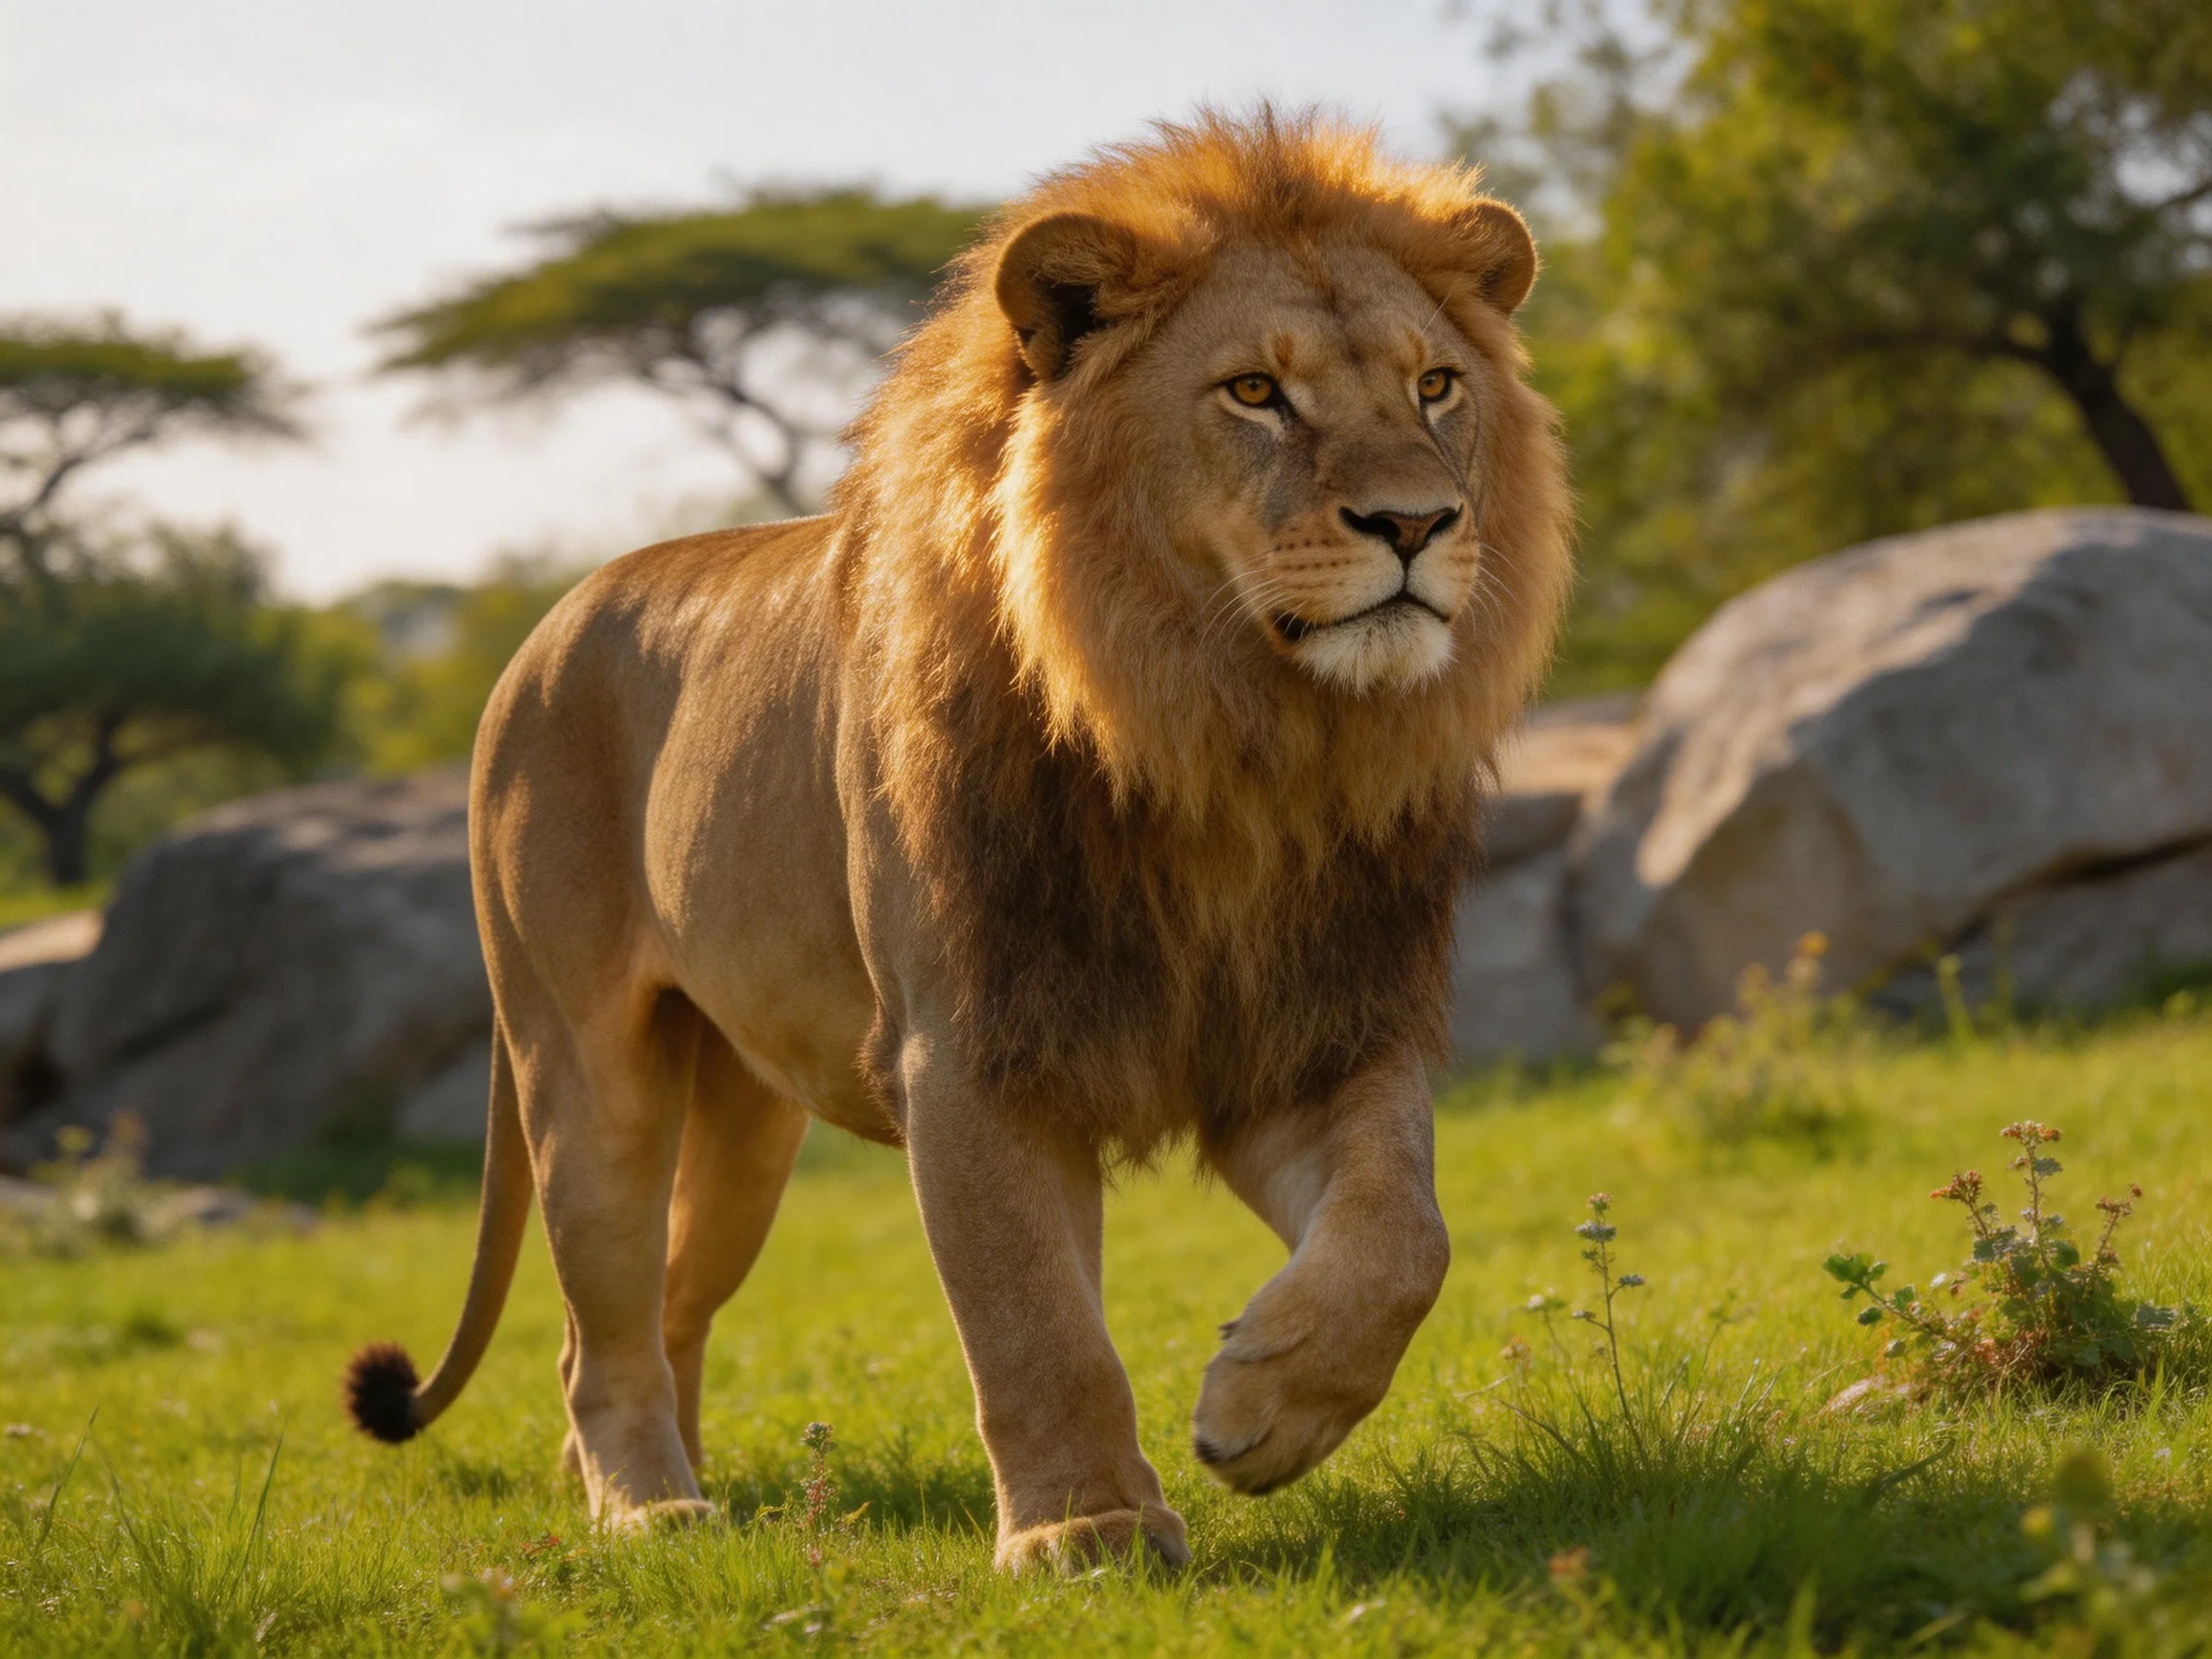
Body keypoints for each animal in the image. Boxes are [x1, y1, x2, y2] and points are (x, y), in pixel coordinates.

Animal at [344, 109, 1572, 1571]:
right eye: (1255, 394)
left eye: (1436, 385)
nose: (1415, 523)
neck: (1229, 742)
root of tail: (545, 624)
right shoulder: (975, 1049)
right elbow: (1033, 1320)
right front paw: (1088, 1530)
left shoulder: (1312, 1035)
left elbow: (1404, 1235)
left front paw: (1263, 1407)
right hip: (587, 1070)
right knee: (601, 1330)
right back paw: (649, 1512)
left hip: (749, 1122)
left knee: (667, 1305)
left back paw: (649, 1492)